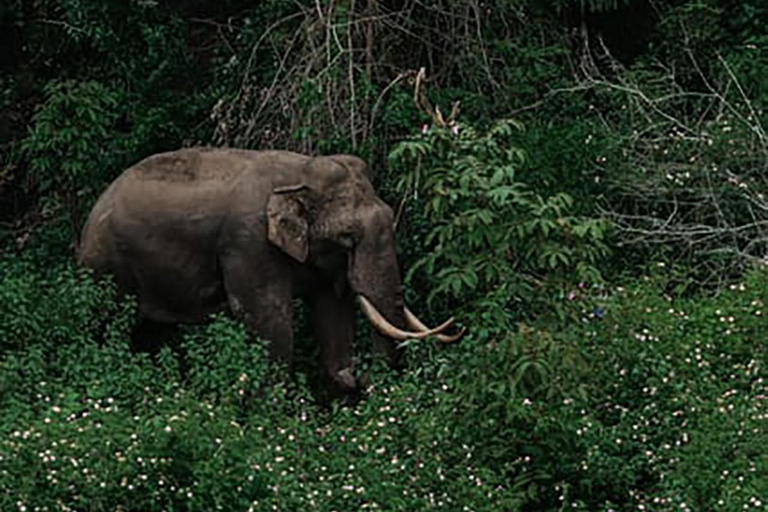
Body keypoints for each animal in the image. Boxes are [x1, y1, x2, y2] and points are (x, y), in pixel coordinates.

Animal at [79, 148, 462, 396]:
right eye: (348, 238)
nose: (361, 375)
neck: (302, 173)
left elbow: (332, 315)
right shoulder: (248, 242)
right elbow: (269, 321)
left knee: (153, 334)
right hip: (105, 266)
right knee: (106, 327)